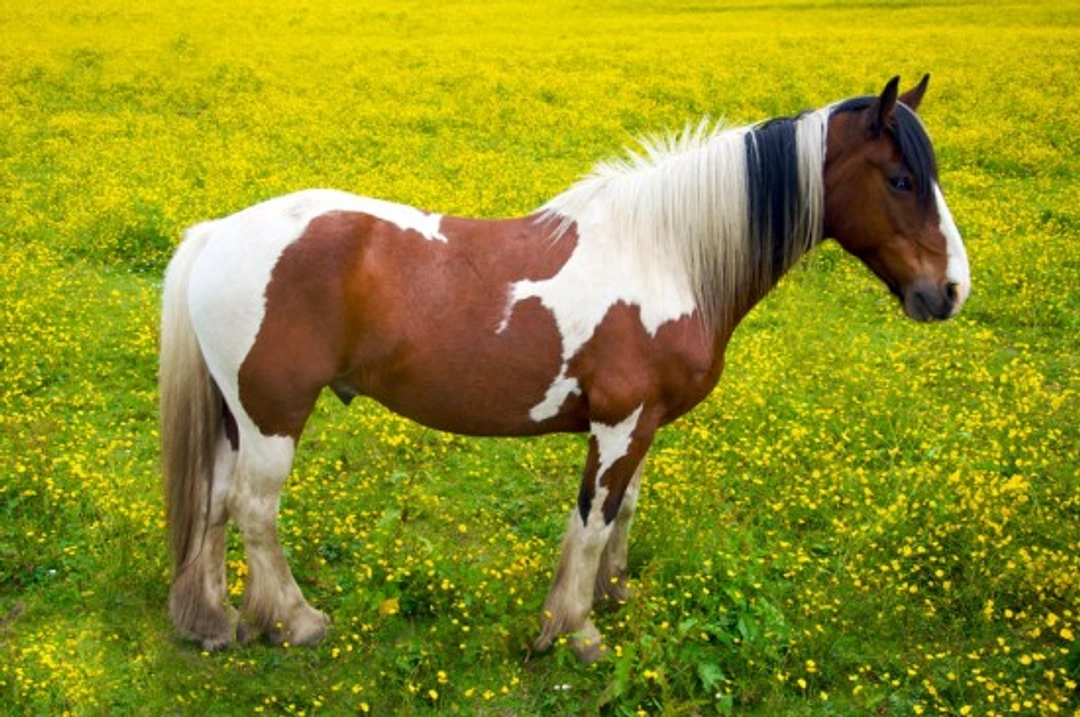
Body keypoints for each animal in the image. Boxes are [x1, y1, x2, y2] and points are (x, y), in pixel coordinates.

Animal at [159, 75, 970, 660]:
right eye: (901, 180)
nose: (950, 291)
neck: (666, 253)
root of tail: (218, 233)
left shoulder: (644, 426)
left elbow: (624, 513)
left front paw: (614, 594)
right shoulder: (616, 427)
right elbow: (590, 520)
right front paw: (575, 632)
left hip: (237, 417)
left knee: (214, 503)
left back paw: (214, 621)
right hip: (274, 416)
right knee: (254, 511)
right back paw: (296, 621)